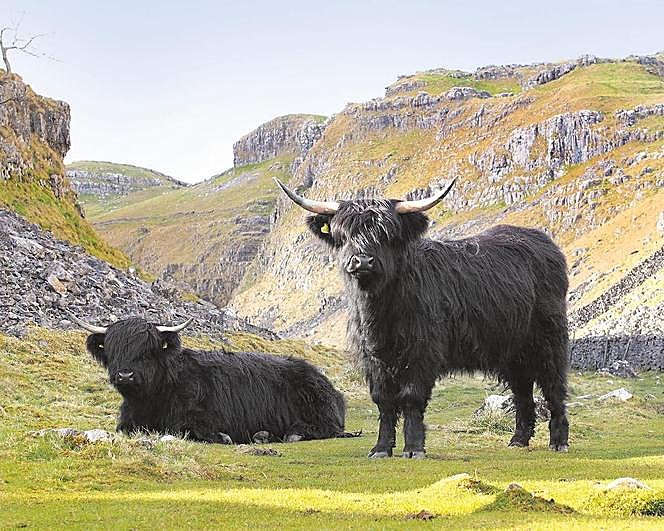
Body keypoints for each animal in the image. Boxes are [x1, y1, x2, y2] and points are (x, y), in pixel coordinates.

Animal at [68, 313, 350, 444]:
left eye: (147, 350)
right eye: (113, 349)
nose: (125, 375)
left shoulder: (202, 417)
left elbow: (186, 429)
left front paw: (223, 437)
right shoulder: (128, 423)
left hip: (317, 410)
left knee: (326, 428)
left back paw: (290, 434)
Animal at [276, 178, 570, 458]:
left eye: (386, 234)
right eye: (343, 234)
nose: (363, 261)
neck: (380, 315)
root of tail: (545, 243)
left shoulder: (421, 353)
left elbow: (411, 398)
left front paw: (414, 448)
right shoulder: (372, 359)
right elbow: (383, 401)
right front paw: (381, 448)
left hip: (549, 340)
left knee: (554, 387)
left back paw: (559, 442)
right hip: (511, 351)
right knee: (522, 390)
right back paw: (518, 440)